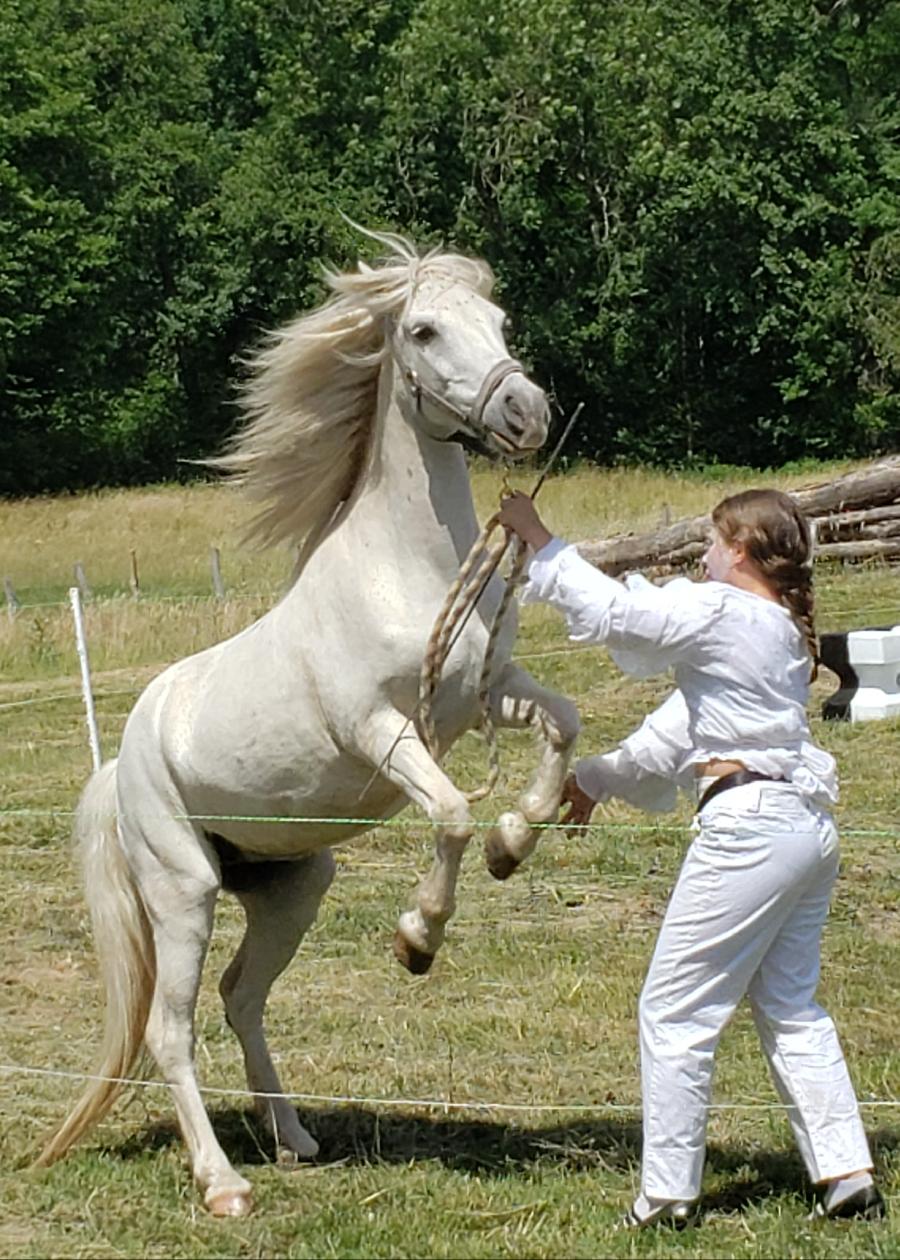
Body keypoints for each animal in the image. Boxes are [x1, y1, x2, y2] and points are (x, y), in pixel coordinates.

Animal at [36, 231, 574, 1214]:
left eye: (500, 319)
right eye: (425, 329)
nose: (525, 412)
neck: (406, 568)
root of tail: (121, 765)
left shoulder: (485, 693)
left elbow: (566, 725)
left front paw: (515, 842)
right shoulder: (381, 731)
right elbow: (450, 813)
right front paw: (417, 938)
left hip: (293, 888)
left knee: (241, 998)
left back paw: (294, 1140)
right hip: (183, 891)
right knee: (171, 1029)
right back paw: (223, 1184)